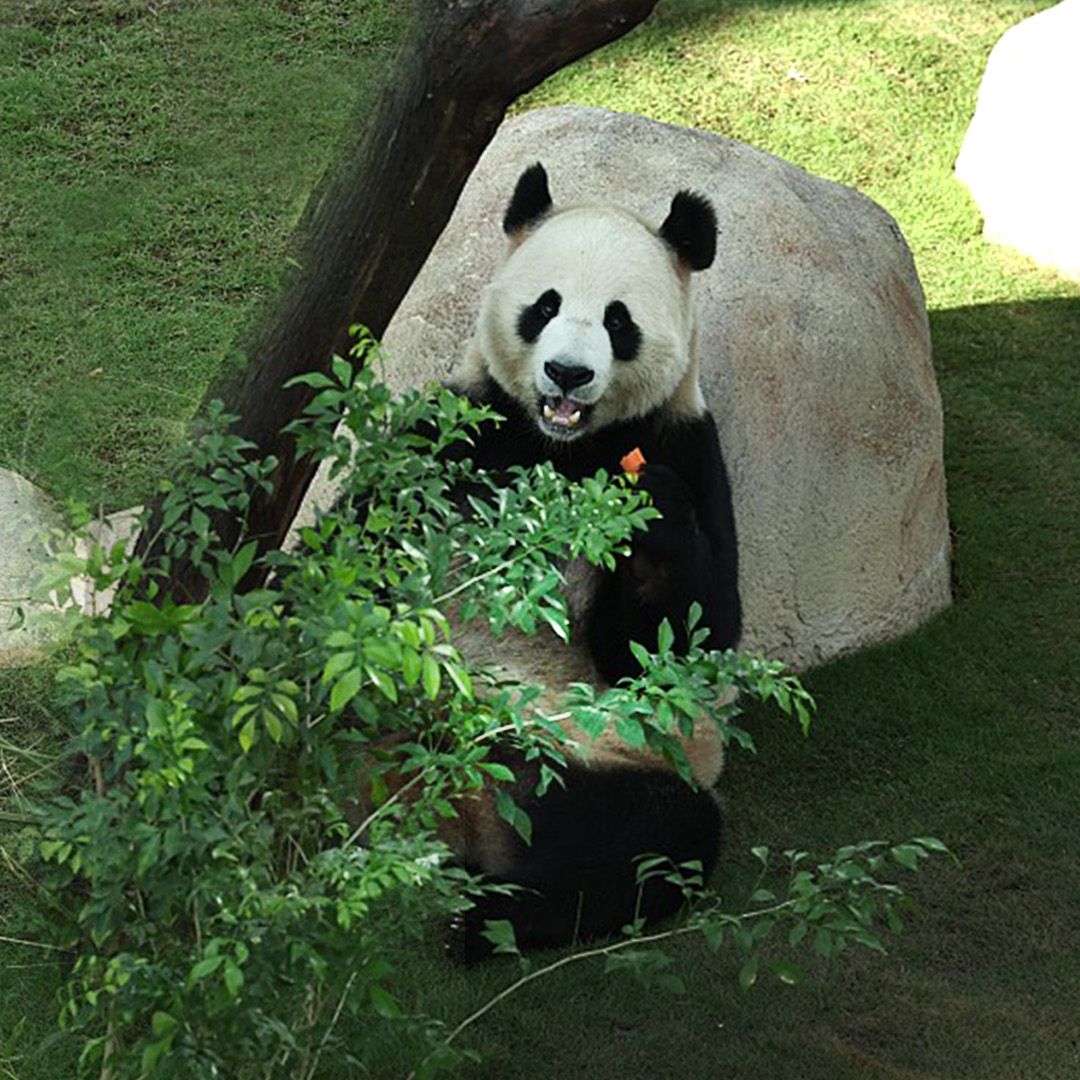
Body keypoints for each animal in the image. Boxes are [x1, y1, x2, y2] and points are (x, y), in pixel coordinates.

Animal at [389, 163, 741, 961]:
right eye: (544, 305)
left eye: (618, 320)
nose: (567, 374)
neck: (563, 446)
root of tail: (462, 813)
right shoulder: (461, 424)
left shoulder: (687, 444)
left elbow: (687, 644)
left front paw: (648, 510)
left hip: (589, 761)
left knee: (658, 837)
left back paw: (486, 920)